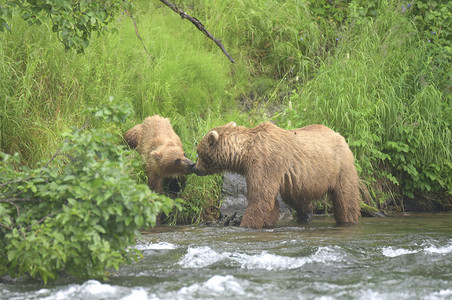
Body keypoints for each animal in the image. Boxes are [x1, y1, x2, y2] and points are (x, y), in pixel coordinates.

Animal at [192, 120, 362, 229]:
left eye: (199, 152)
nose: (195, 167)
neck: (245, 154)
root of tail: (340, 135)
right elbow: (269, 201)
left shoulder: (265, 162)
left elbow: (260, 197)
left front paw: (245, 224)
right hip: (300, 181)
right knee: (295, 197)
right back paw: (306, 214)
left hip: (340, 168)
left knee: (345, 197)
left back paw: (347, 220)